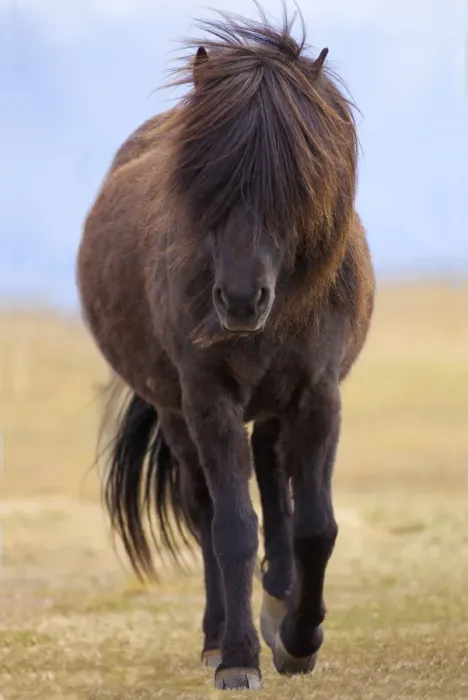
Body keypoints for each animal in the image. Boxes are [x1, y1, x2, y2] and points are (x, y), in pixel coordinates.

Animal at [77, 7, 375, 691]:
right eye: (203, 178)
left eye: (298, 178)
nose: (240, 300)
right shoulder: (208, 400)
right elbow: (233, 526)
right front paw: (239, 656)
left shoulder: (318, 395)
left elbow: (315, 526)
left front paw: (298, 638)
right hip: (177, 414)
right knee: (205, 510)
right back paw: (217, 637)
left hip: (271, 408)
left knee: (273, 481)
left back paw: (279, 601)